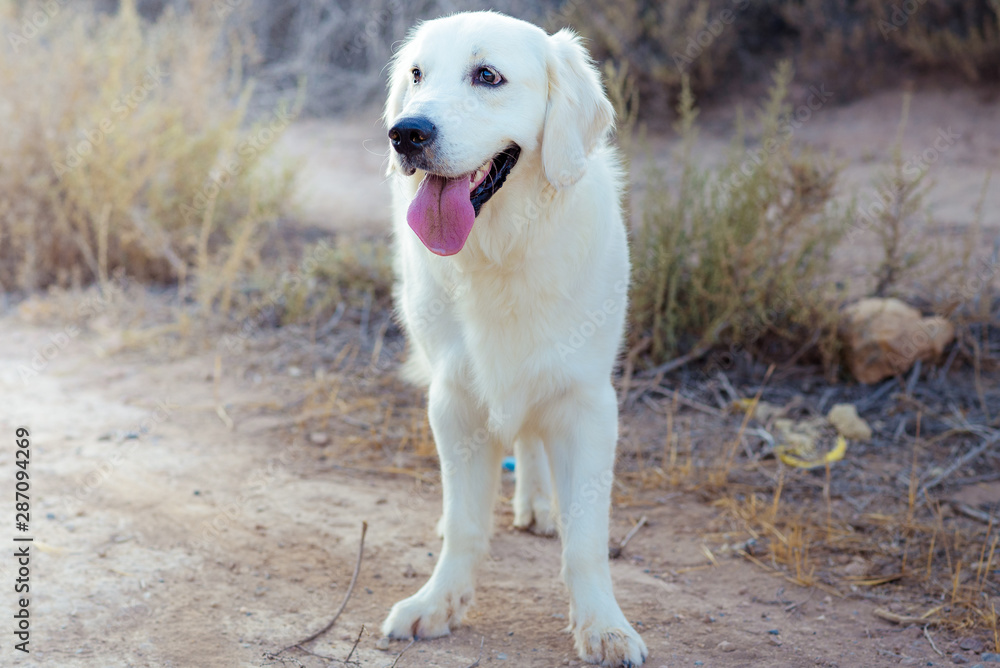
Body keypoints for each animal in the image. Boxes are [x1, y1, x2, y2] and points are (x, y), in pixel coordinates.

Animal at [378, 11, 644, 668]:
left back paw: (543, 505)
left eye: (487, 76)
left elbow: (587, 540)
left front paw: (603, 626)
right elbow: (467, 524)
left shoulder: (588, 403)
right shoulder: (454, 400)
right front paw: (438, 603)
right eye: (417, 74)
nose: (406, 134)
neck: (500, 250)